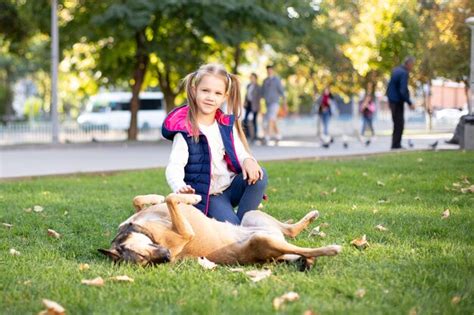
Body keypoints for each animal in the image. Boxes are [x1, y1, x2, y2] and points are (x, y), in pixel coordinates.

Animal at [99, 193, 340, 270]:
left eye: (142, 255)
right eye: (144, 261)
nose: (168, 257)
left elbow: (143, 199)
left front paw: (185, 197)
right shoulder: (185, 235)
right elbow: (170, 198)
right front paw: (191, 197)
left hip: (252, 215)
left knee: (290, 230)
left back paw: (308, 218)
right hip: (263, 239)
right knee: (305, 249)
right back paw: (331, 248)